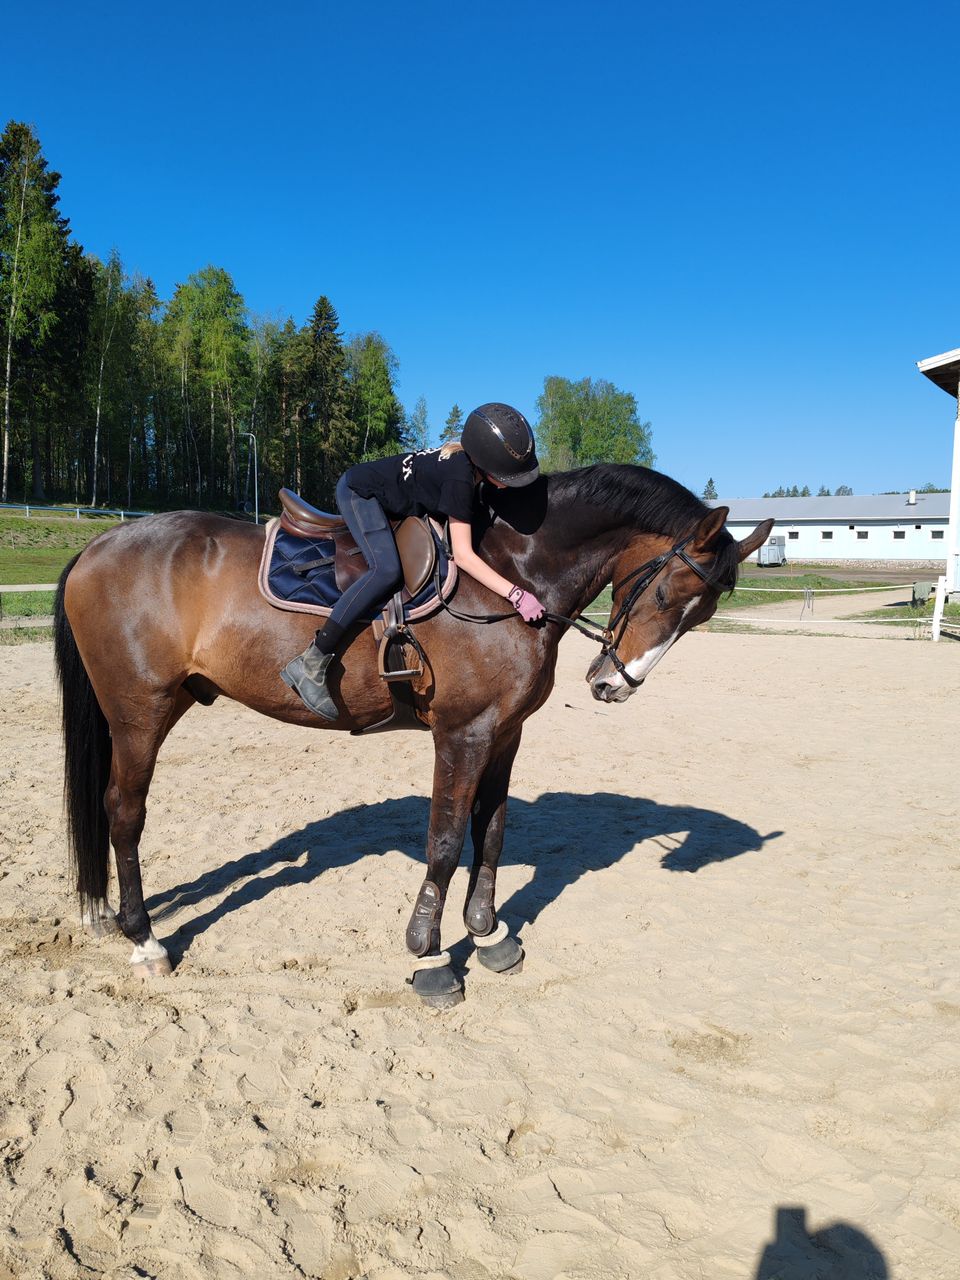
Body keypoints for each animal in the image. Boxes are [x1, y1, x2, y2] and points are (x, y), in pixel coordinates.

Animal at [52, 465, 773, 1003]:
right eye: (664, 595)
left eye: (701, 615)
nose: (614, 684)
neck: (509, 573)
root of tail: (99, 546)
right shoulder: (461, 733)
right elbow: (447, 843)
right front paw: (429, 958)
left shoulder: (504, 734)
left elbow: (493, 832)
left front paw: (487, 935)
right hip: (140, 712)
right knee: (123, 812)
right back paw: (144, 939)